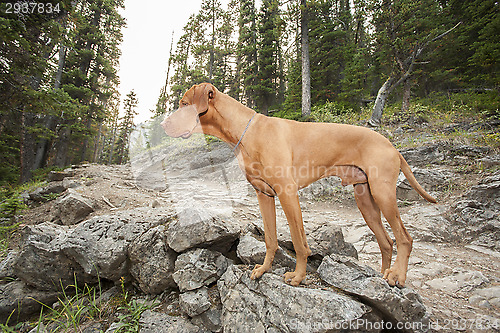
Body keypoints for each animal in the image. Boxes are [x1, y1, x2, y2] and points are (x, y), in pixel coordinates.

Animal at [162, 82, 436, 286]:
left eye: (183, 104)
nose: (163, 124)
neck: (246, 131)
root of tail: (392, 146)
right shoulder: (264, 195)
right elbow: (271, 239)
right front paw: (263, 269)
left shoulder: (287, 193)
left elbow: (298, 241)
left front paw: (299, 276)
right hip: (366, 201)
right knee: (386, 242)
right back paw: (381, 275)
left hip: (382, 194)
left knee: (404, 238)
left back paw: (398, 277)